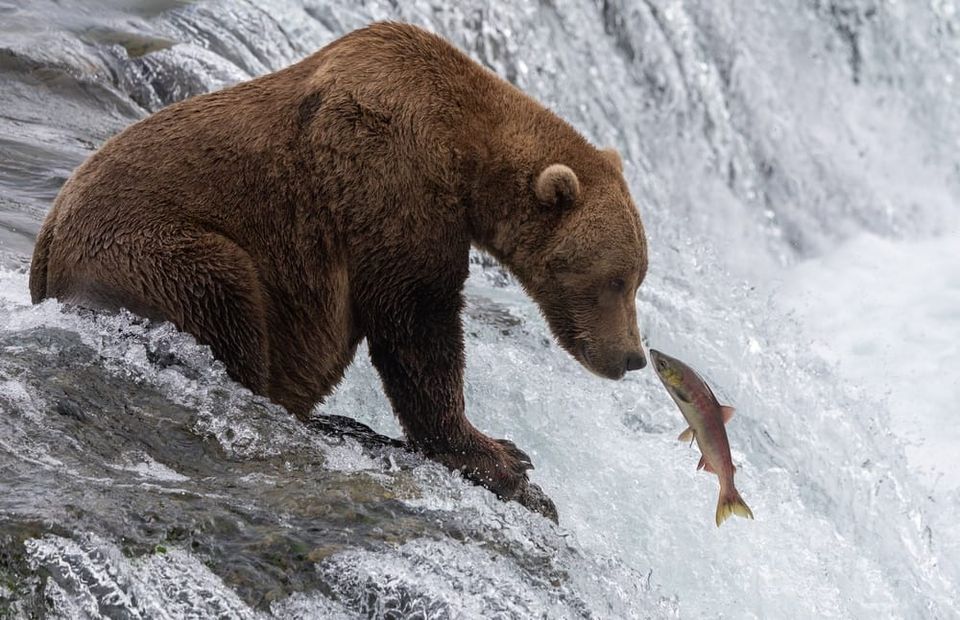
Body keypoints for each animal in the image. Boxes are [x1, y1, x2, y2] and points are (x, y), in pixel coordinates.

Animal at [29, 22, 648, 519]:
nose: (632, 358)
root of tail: (45, 244)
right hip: (160, 248)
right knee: (225, 298)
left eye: (638, 278)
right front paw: (503, 457)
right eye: (615, 281)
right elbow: (416, 326)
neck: (465, 154)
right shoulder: (392, 183)